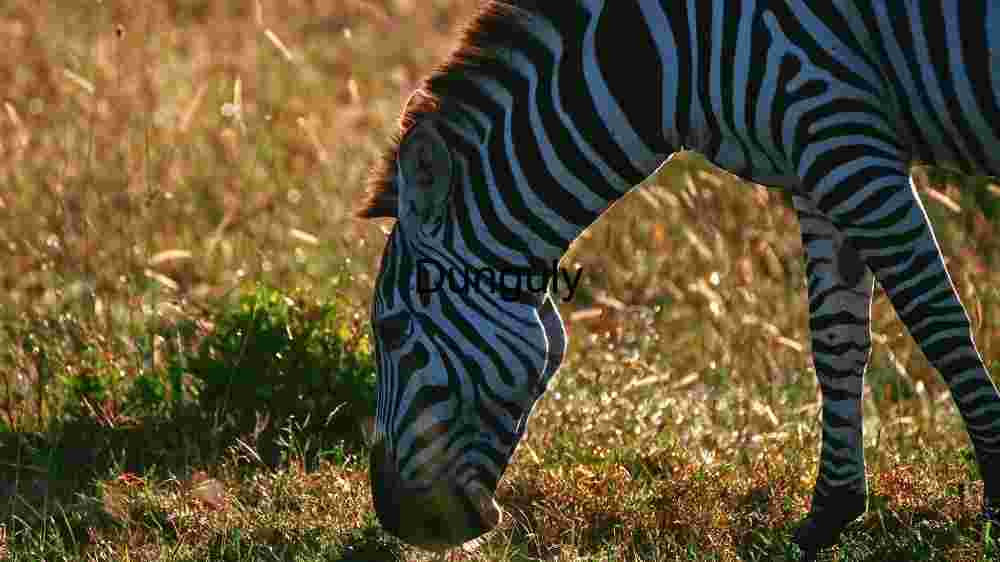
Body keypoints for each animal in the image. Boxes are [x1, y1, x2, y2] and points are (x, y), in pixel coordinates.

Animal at [358, 1, 1000, 556]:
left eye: (391, 331)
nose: (394, 519)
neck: (671, 59)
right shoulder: (818, 161)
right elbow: (835, 340)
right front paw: (829, 515)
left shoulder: (844, 134)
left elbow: (938, 323)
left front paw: (995, 500)